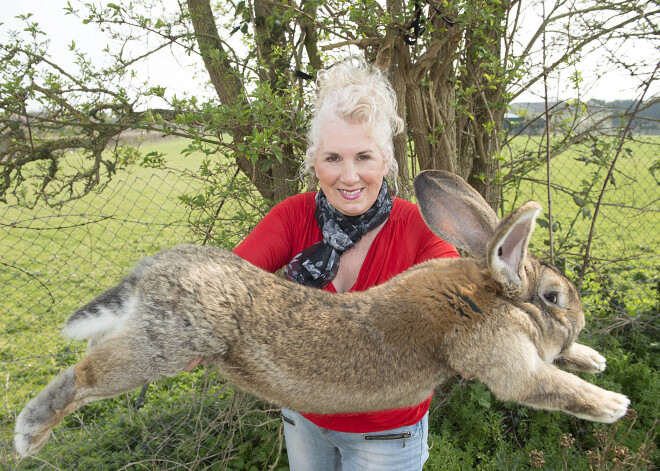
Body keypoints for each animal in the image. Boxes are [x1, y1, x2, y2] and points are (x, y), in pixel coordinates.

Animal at [14, 171, 628, 458]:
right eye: (554, 297)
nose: (578, 321)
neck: (486, 295)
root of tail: (149, 274)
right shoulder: (503, 359)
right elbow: (547, 385)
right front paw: (612, 404)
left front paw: (593, 357)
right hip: (163, 347)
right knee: (83, 376)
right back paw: (28, 437)